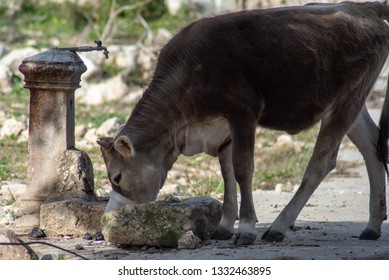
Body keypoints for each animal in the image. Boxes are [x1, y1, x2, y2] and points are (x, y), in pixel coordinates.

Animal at [96, 1, 388, 245]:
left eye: (117, 177)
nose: (108, 217)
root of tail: (363, 7)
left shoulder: (243, 111)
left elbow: (242, 168)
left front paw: (246, 229)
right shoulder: (221, 128)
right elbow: (226, 172)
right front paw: (225, 225)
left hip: (347, 99)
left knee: (322, 161)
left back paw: (279, 227)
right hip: (353, 99)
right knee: (371, 147)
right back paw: (372, 226)